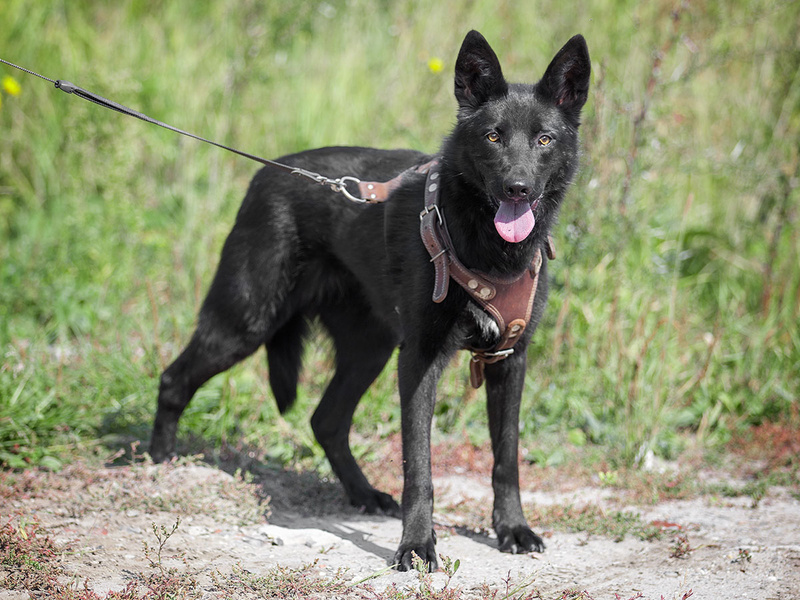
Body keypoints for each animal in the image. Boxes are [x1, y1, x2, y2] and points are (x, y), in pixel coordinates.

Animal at [149, 30, 590, 571]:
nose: (518, 188)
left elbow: (506, 458)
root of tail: (269, 173)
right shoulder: (419, 360)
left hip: (369, 348)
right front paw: (416, 545)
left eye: (545, 139)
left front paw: (512, 528)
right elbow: (418, 465)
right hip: (245, 321)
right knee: (174, 379)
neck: (484, 244)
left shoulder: (509, 360)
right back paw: (159, 462)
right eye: (493, 137)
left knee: (326, 420)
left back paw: (362, 494)